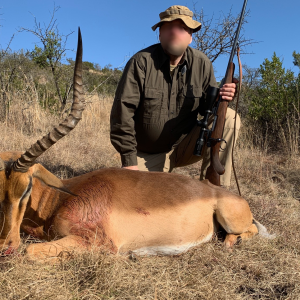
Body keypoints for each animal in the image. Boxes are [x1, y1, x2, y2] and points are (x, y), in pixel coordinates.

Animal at [0, 29, 274, 262]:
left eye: (27, 188)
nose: (6, 246)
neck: (60, 199)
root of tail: (227, 195)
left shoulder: (98, 243)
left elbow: (29, 252)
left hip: (231, 219)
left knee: (250, 230)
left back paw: (231, 242)